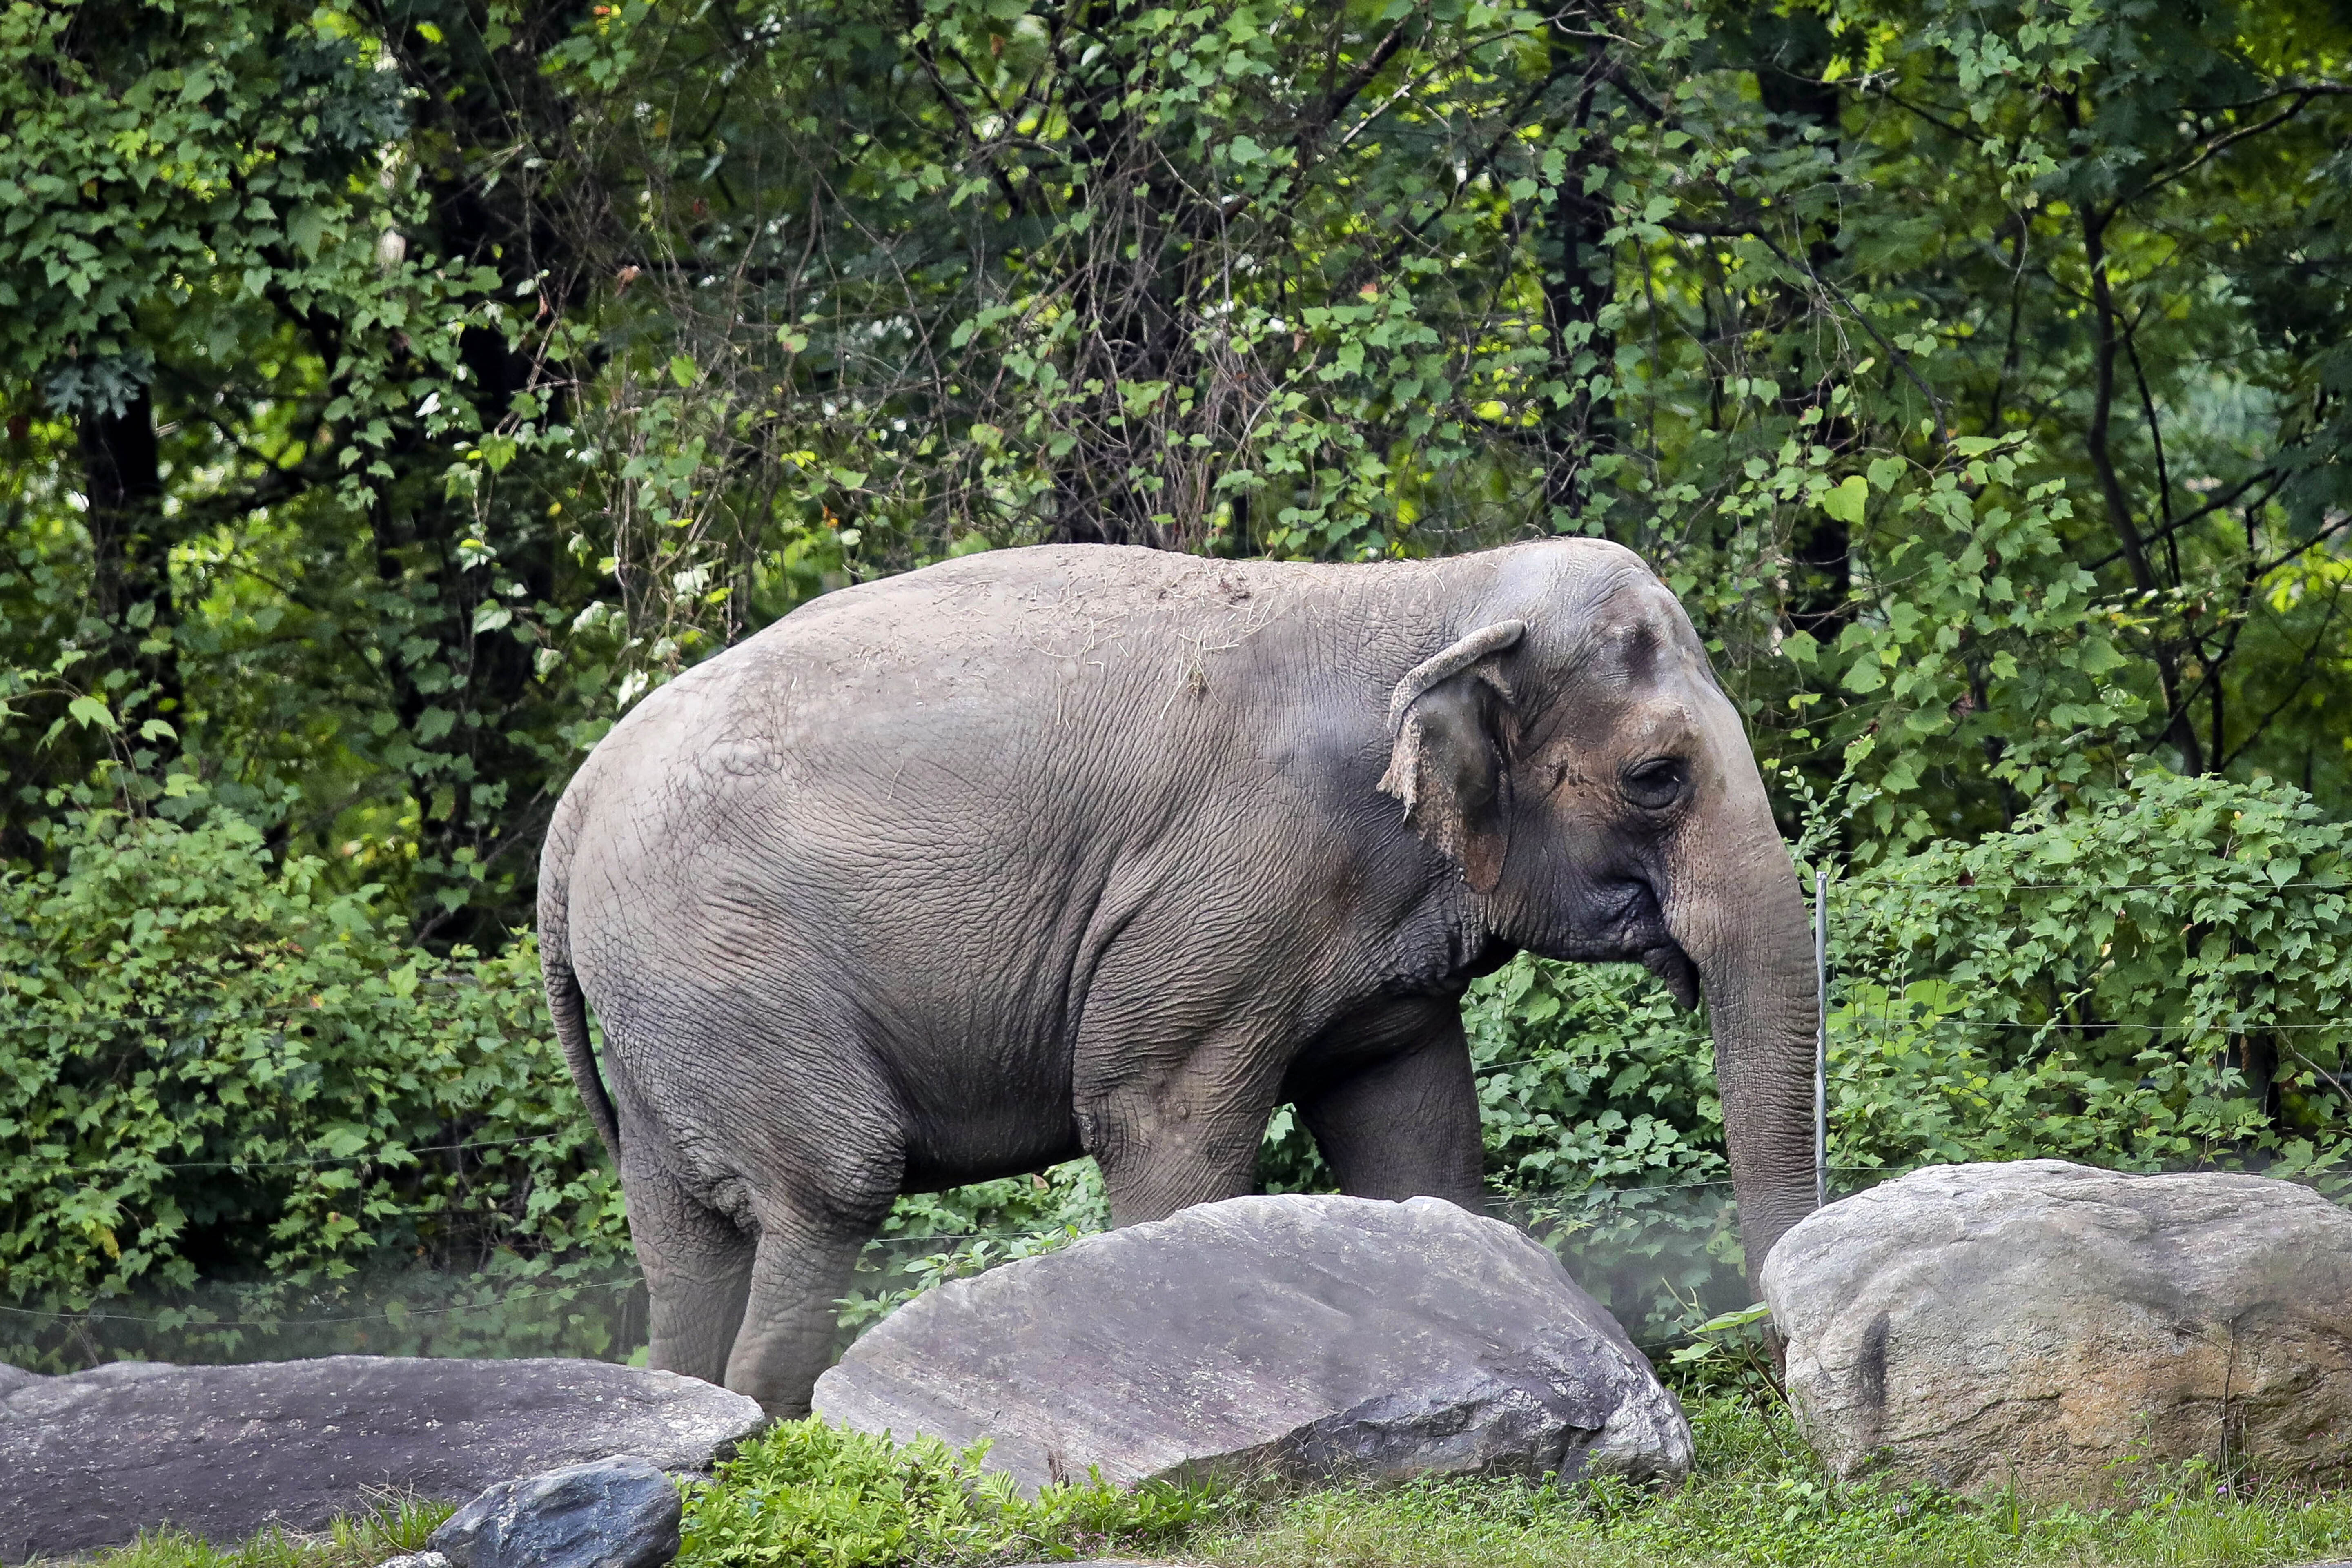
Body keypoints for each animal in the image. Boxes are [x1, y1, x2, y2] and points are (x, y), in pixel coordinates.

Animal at [539, 537, 1821, 1415]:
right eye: (1657, 777)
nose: (1775, 1370)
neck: (1432, 593)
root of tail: (578, 801)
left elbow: (1415, 1134)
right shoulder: (1227, 892)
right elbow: (1162, 1123)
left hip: (664, 1006)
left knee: (682, 1239)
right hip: (727, 962)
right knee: (830, 1187)